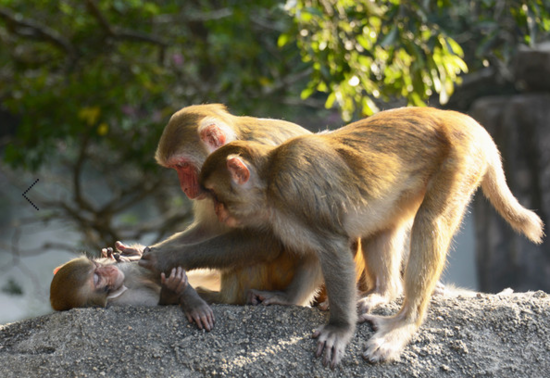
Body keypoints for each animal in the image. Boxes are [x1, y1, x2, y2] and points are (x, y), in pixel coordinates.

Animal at [49, 245, 217, 330]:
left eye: (97, 267)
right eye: (98, 280)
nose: (110, 270)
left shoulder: (123, 269)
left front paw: (195, 304)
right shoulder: (125, 301)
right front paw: (172, 290)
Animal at [191, 105, 548, 366]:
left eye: (217, 197)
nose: (218, 213)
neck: (271, 179)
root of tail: (460, 118)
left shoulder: (297, 194)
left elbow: (335, 249)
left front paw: (338, 328)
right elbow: (316, 253)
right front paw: (288, 298)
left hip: (460, 159)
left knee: (429, 222)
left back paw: (405, 321)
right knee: (385, 223)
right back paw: (383, 292)